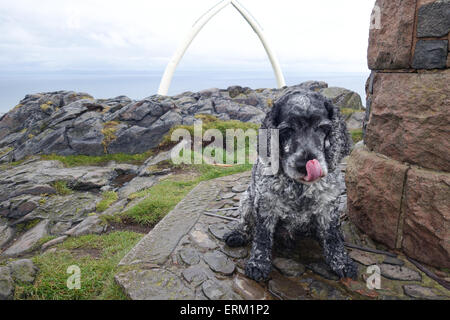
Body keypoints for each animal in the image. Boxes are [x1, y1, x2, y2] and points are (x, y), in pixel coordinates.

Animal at [225, 89, 358, 282]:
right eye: (287, 130)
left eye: (323, 128)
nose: (305, 165)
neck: (298, 186)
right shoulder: (266, 203)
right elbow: (262, 235)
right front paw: (258, 263)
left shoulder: (327, 204)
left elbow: (331, 235)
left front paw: (341, 261)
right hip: (247, 199)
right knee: (246, 223)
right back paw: (238, 233)